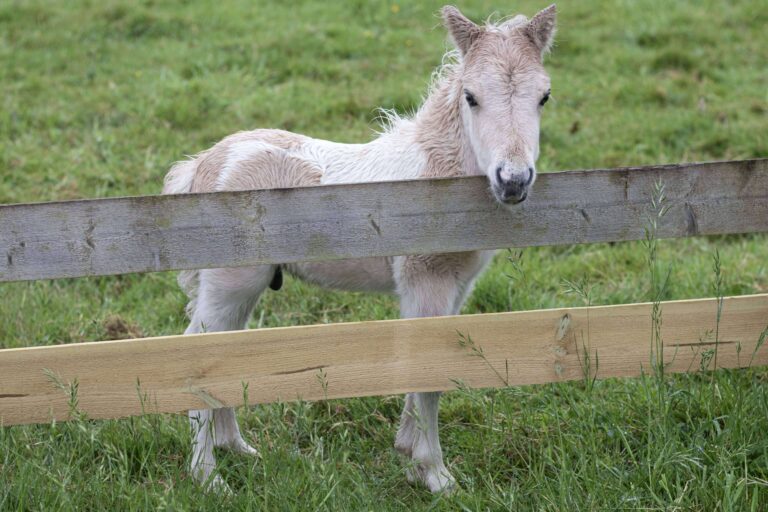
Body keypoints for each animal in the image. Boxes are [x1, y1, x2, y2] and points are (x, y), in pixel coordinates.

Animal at [162, 4, 556, 493]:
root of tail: (203, 164)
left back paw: (236, 449)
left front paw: (409, 455)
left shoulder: (456, 286)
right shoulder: (426, 280)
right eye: (471, 97)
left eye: (544, 97)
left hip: (239, 288)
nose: (513, 181)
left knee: (225, 353)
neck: (435, 178)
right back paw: (208, 476)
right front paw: (436, 475)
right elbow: (429, 374)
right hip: (230, 284)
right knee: (197, 352)